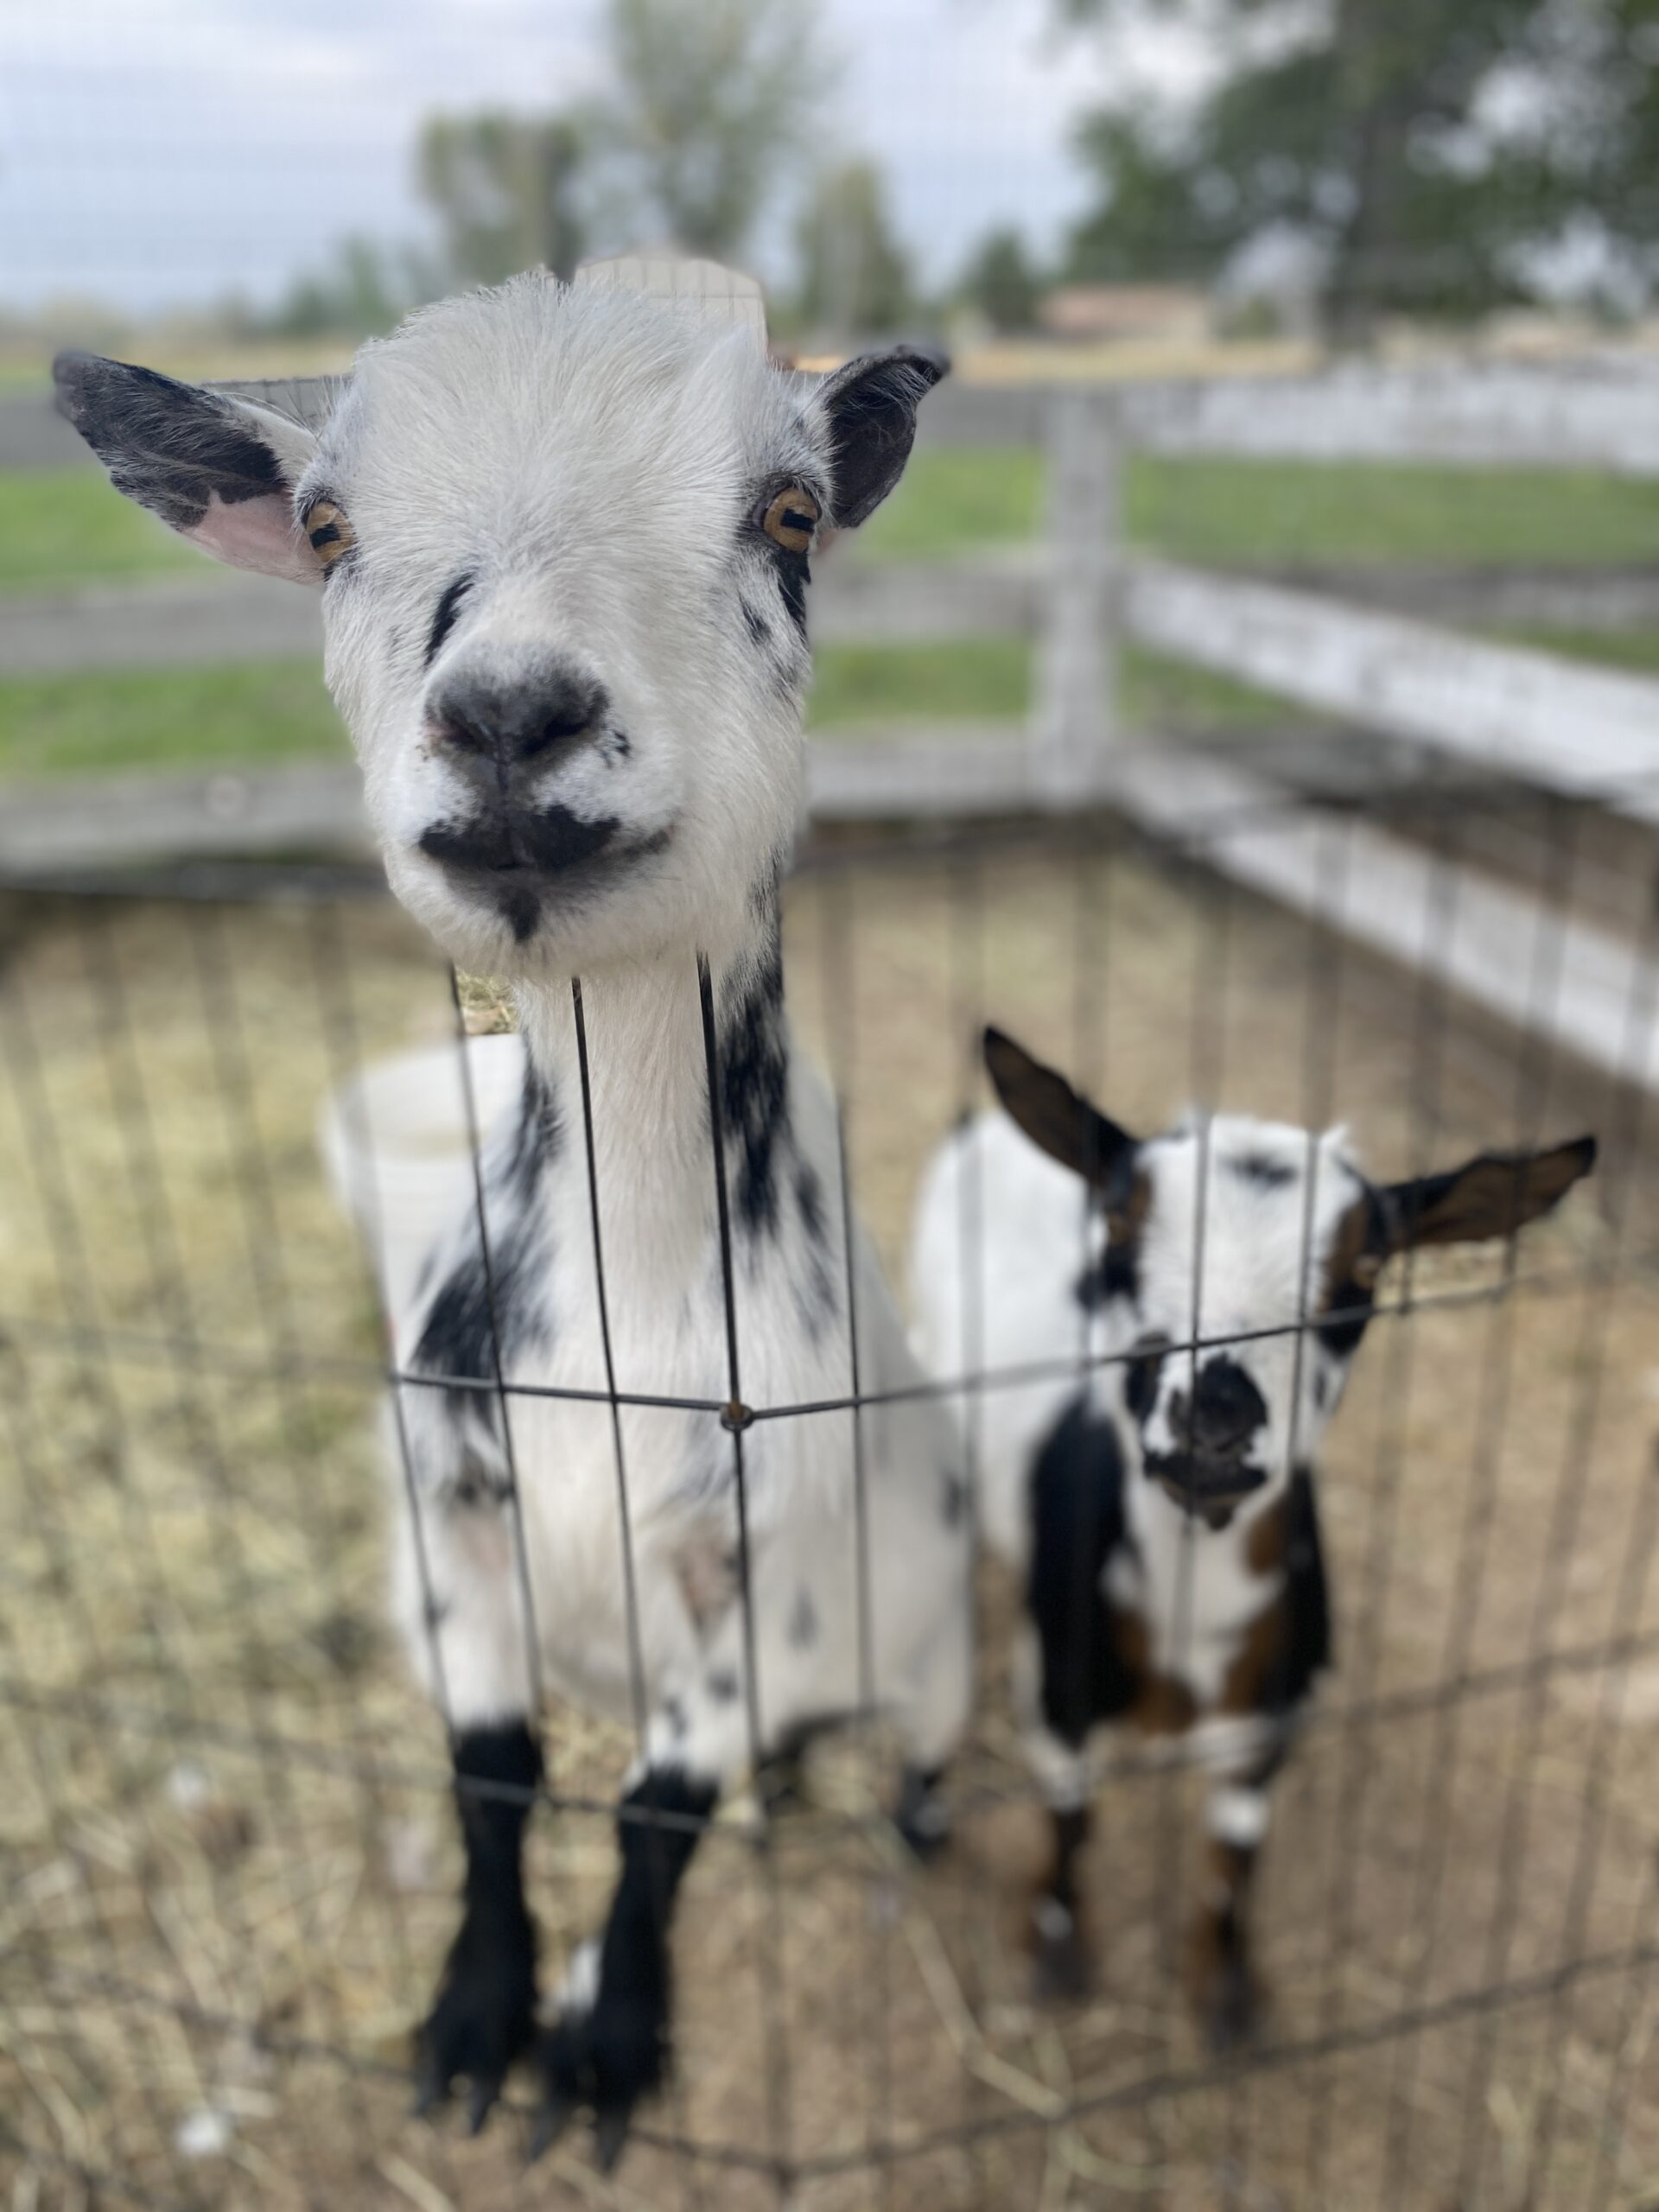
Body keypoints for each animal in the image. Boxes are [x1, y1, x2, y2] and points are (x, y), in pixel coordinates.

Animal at [55, 273, 972, 2164]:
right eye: (327, 529)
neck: (622, 1312)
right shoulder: (453, 1528)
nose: (505, 718)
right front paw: (477, 2024)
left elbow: (655, 1811)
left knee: (923, 1746)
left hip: (936, 1638)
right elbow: (496, 1774)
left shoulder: (753, 1566)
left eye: (790, 516)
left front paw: (612, 2049)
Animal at [910, 1025, 1594, 2045]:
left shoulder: (1275, 1706)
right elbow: (1072, 1818)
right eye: (1119, 1224)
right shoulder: (1055, 1690)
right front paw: (1058, 1948)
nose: (1217, 1412)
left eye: (1369, 1266)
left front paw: (1228, 1997)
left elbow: (1235, 1856)